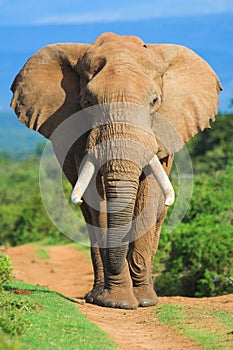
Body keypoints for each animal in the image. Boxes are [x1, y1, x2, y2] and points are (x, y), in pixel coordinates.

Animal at [10, 30, 222, 308]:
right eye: (87, 102)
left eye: (154, 101)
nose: (135, 299)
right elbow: (97, 201)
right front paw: (117, 302)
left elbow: (149, 198)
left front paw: (142, 301)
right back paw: (95, 296)